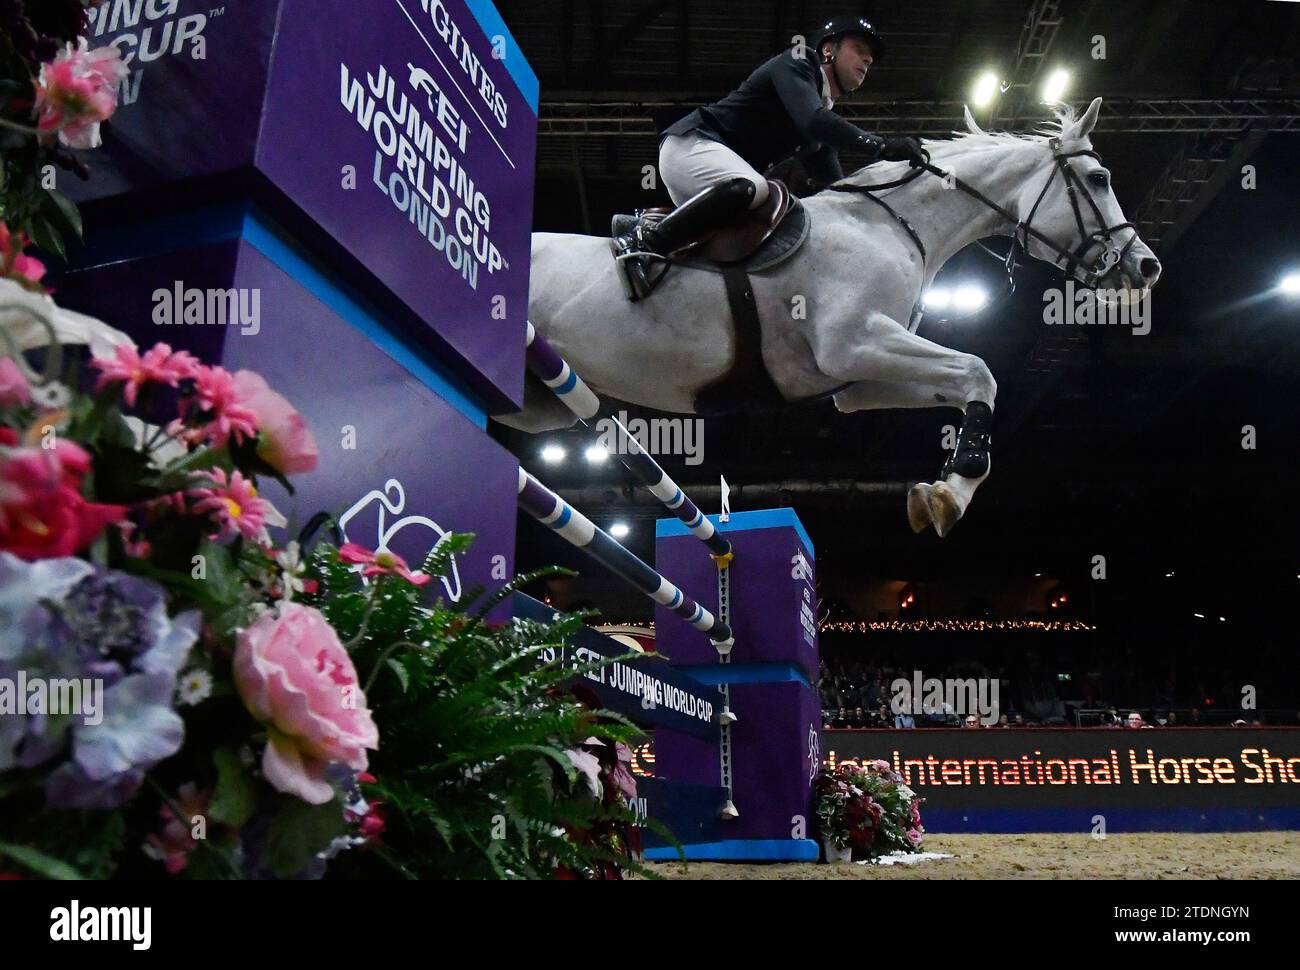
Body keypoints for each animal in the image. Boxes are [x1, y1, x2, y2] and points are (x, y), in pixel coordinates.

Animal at [501, 98, 1164, 535]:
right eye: (1099, 178)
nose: (1147, 268)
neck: (894, 227)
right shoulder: (855, 342)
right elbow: (979, 369)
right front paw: (955, 487)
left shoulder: (857, 378)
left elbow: (973, 384)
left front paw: (945, 494)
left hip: (540, 401)